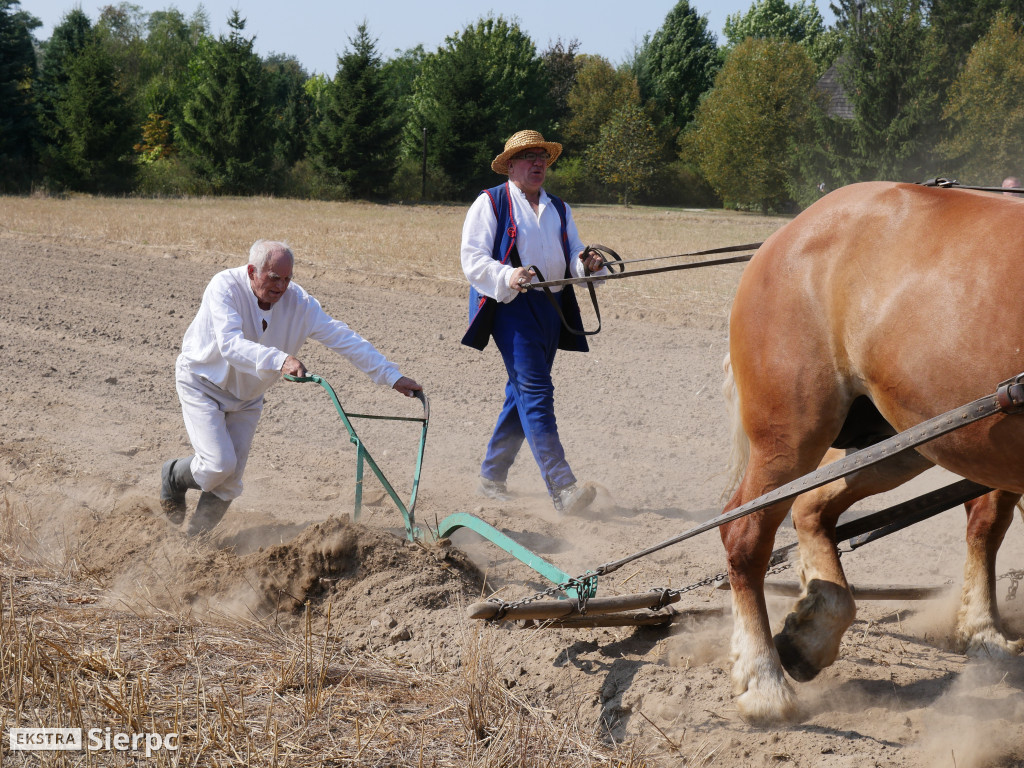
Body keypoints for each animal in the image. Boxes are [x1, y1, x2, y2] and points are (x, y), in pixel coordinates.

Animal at [720, 182, 1024, 729]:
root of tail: (787, 232)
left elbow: (988, 521)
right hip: (789, 436)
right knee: (745, 531)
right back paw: (764, 682)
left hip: (910, 436)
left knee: (811, 505)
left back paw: (814, 630)